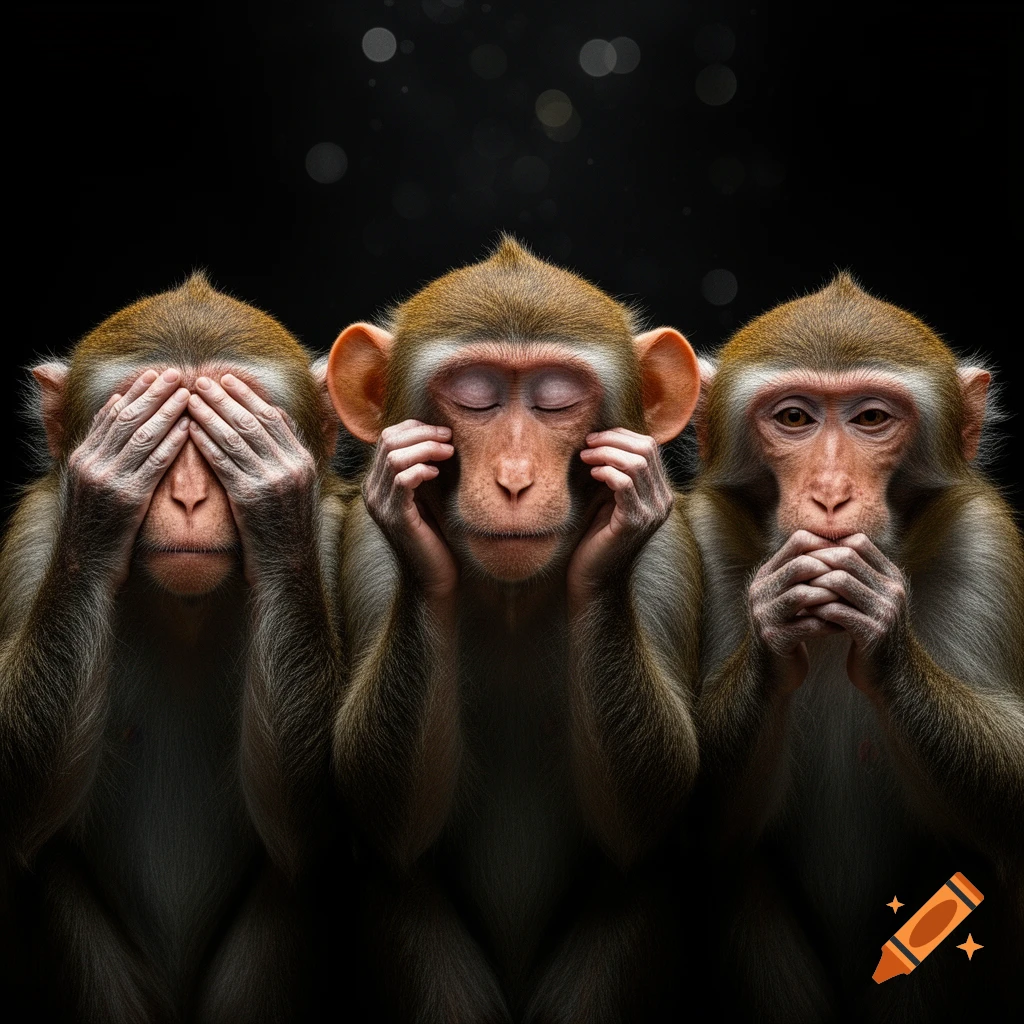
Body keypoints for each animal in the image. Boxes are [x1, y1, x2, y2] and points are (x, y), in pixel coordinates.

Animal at [0, 273, 348, 1023]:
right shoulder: (33, 537)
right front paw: (106, 493)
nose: (188, 498)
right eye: (160, 422)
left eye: (217, 431)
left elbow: (315, 830)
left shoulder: (341, 534)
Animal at [326, 237, 704, 1023]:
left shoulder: (671, 559)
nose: (515, 477)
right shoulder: (362, 554)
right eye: (475, 396)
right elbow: (388, 820)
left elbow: (643, 820)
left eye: (557, 399)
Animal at [689, 273, 1024, 1022]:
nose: (831, 494)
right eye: (794, 418)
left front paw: (884, 632)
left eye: (871, 419)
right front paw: (773, 622)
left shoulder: (983, 540)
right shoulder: (699, 535)